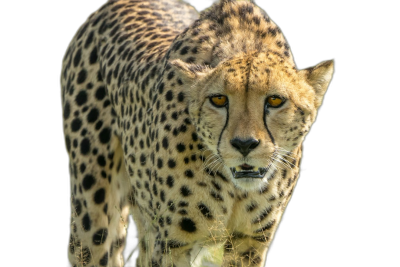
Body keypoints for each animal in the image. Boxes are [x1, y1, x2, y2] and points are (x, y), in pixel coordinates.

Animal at [60, 1, 334, 266]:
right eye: (219, 99)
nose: (244, 144)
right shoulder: (172, 244)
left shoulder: (249, 244)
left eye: (275, 100)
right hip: (93, 217)